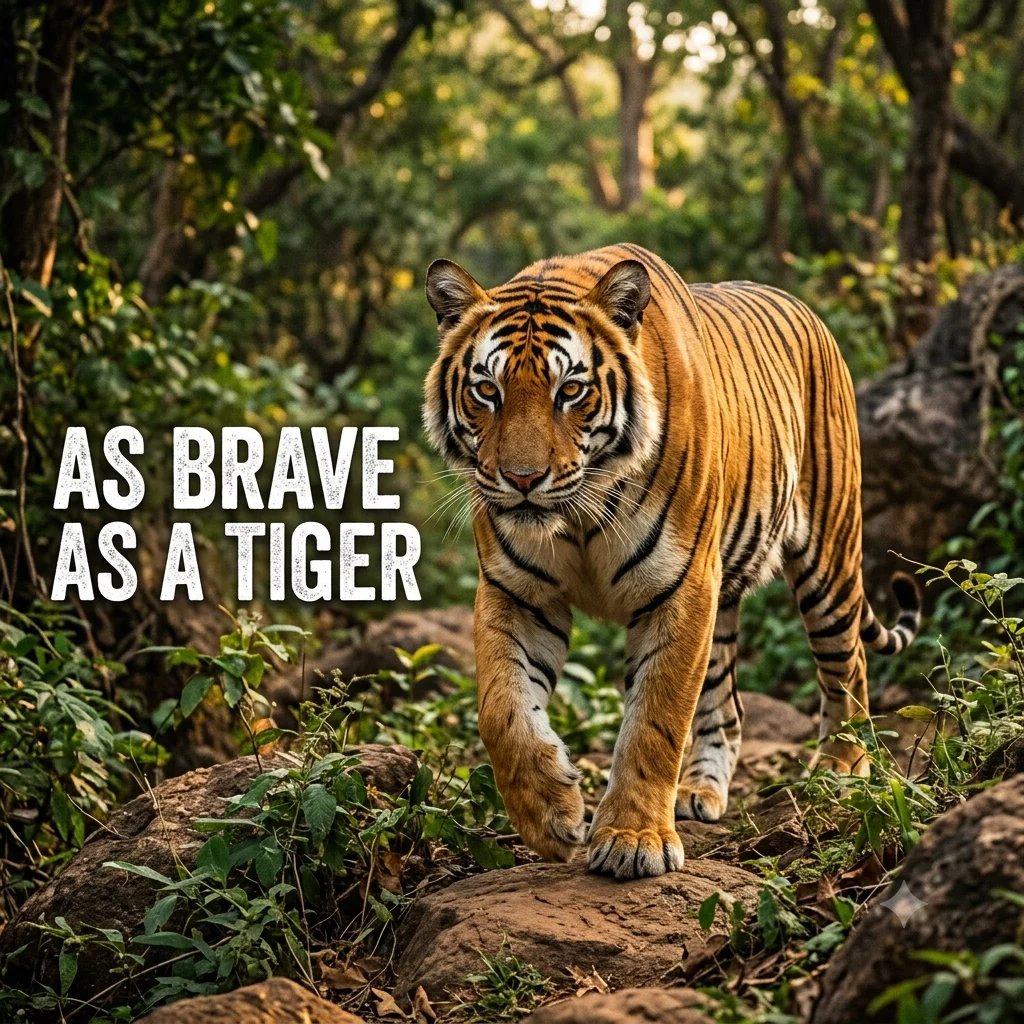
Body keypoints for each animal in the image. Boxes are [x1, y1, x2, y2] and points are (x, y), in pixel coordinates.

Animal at [422, 243, 920, 880]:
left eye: (570, 391)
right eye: (487, 391)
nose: (523, 479)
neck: (579, 513)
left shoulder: (680, 588)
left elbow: (654, 720)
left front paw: (633, 840)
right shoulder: (518, 592)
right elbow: (502, 710)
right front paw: (552, 815)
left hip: (827, 561)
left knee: (848, 665)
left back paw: (839, 769)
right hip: (725, 596)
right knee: (727, 705)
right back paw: (699, 791)